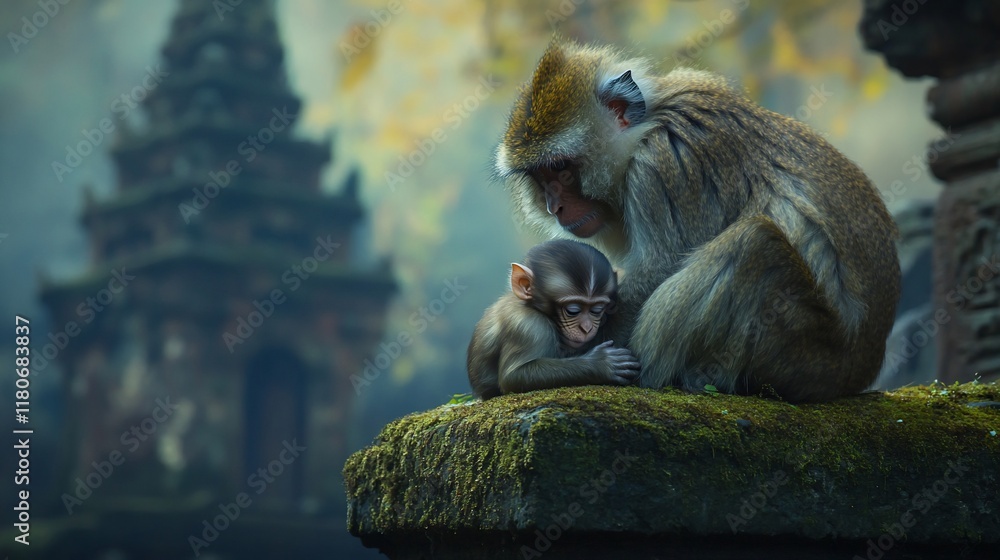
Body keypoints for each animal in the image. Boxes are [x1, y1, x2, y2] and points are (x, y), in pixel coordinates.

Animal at [467, 239, 640, 400]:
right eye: (572, 310)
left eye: (596, 310)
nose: (586, 328)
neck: (532, 307)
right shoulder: (529, 326)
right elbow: (513, 376)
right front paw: (601, 363)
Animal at [493, 37, 901, 402]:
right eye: (540, 176)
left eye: (561, 168)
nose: (554, 207)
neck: (648, 127)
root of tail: (861, 370)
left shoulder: (665, 166)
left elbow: (657, 268)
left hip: (807, 356)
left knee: (754, 245)